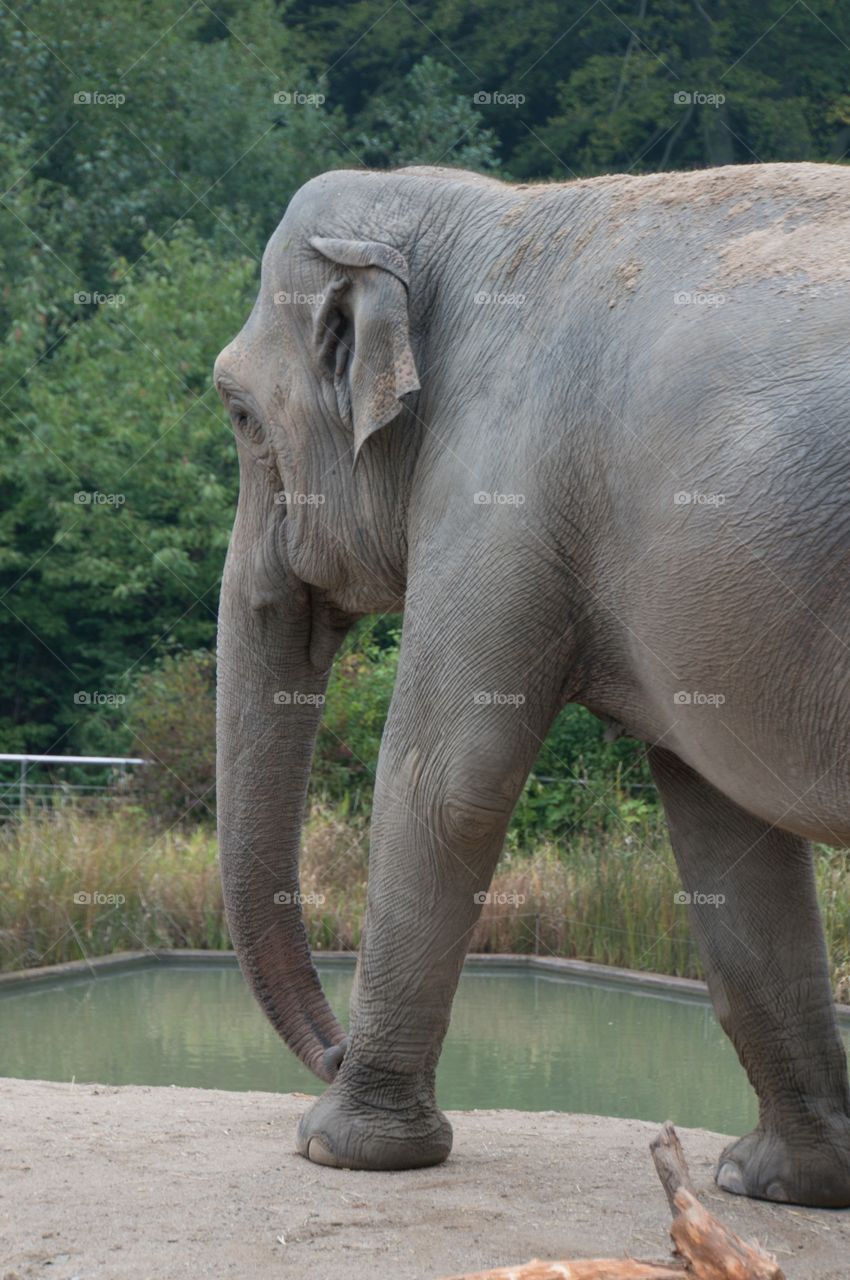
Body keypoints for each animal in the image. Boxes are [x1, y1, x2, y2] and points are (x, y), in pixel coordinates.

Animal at [213, 160, 850, 1207]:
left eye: (236, 413)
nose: (332, 1053)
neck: (479, 214)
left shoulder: (502, 482)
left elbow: (445, 781)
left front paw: (341, 1148)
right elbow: (728, 842)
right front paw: (771, 1181)